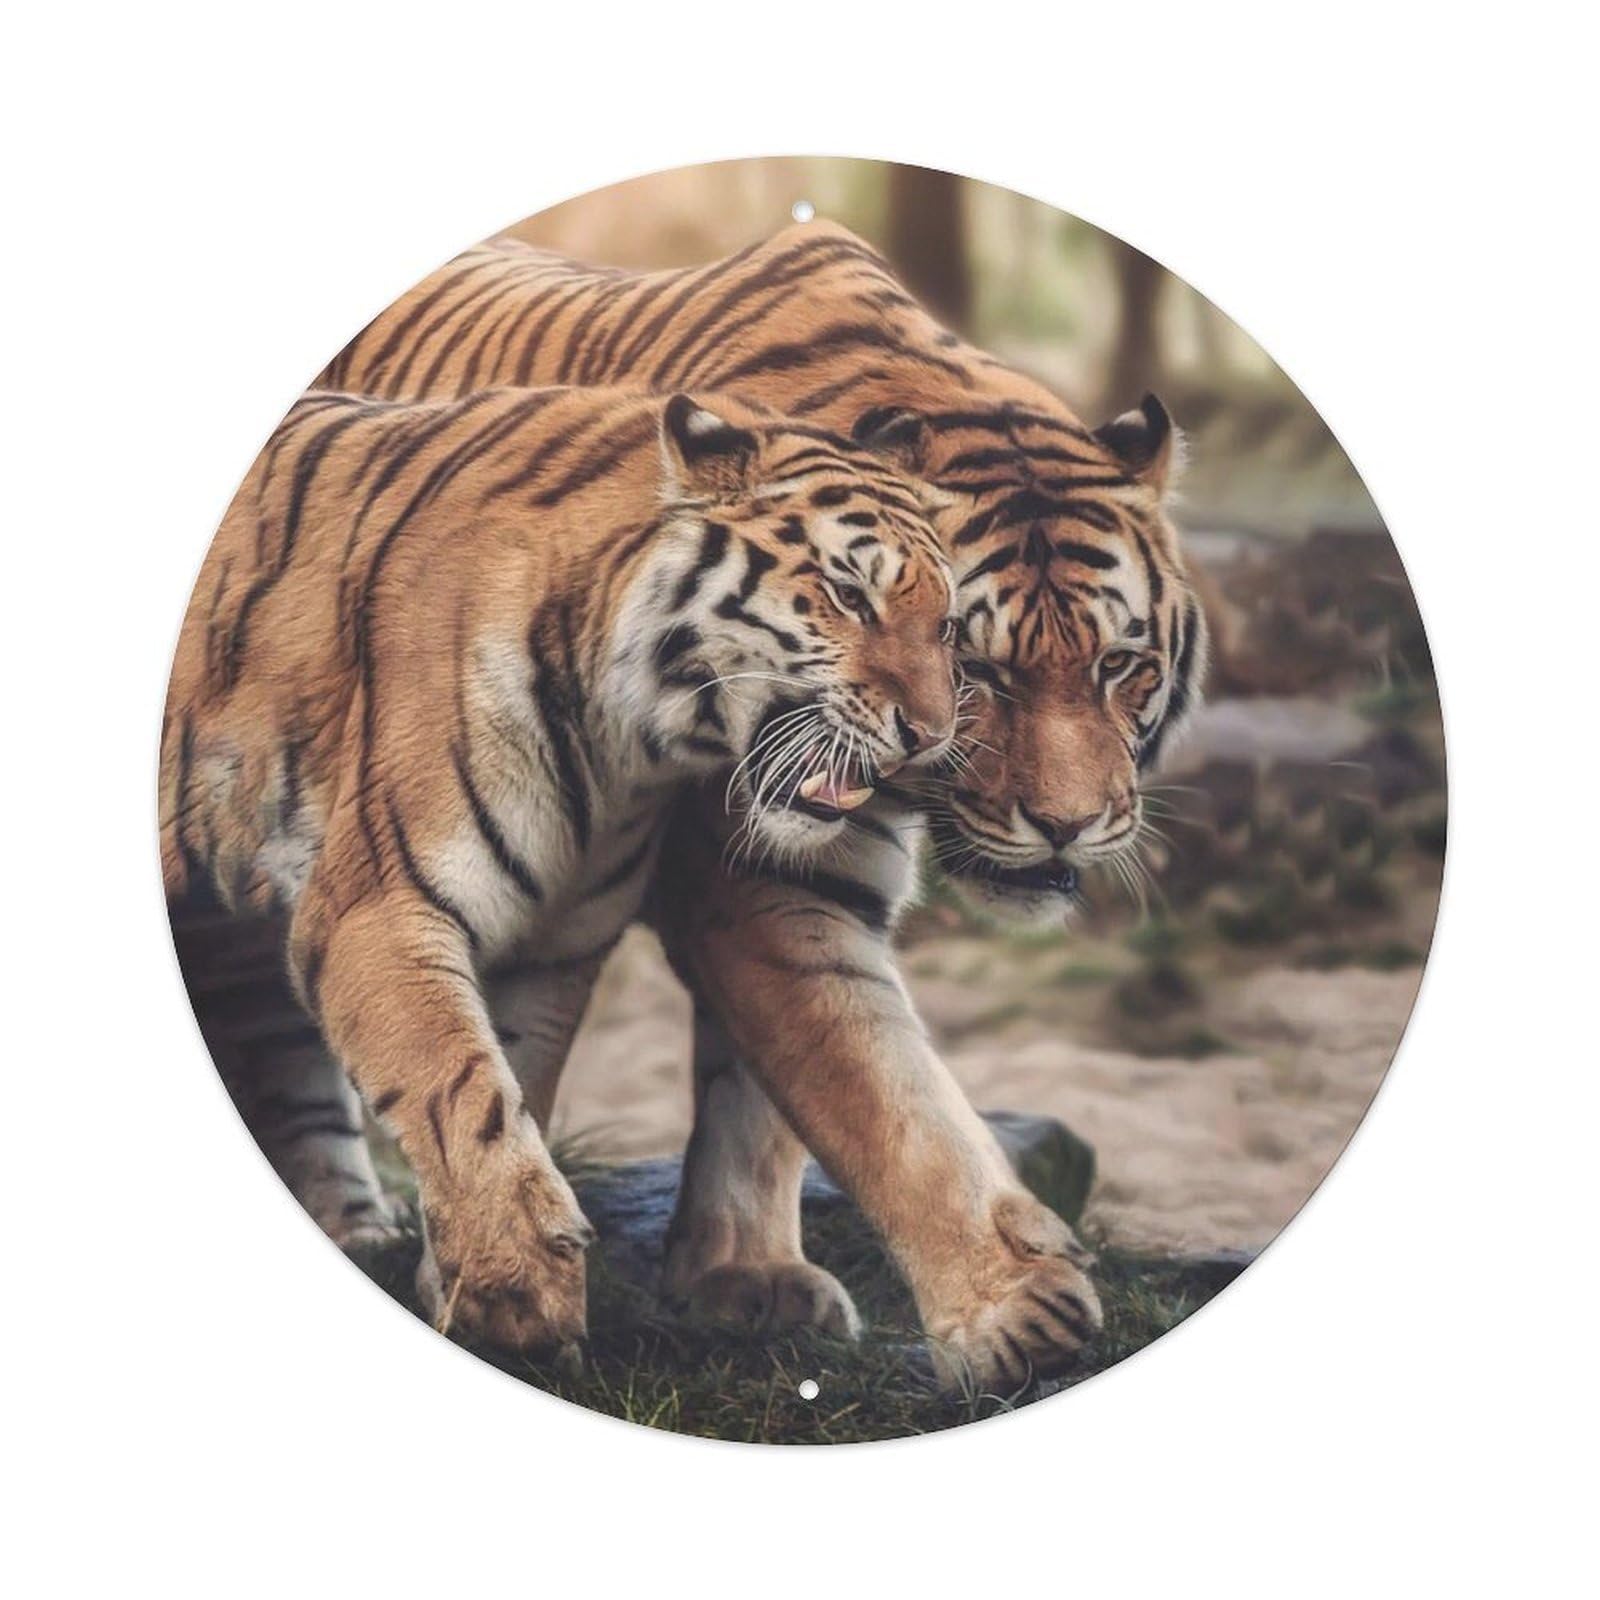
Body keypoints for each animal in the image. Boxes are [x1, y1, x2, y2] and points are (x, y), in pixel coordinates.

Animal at [160, 383, 960, 1352]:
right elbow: (456, 1083)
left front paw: (476, 1292)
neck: (627, 747)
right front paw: (523, 1281)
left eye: (946, 624)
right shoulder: (378, 908)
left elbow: (510, 1085)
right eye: (848, 595)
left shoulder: (551, 944)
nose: (934, 734)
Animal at [302, 217, 1208, 1386]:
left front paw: (748, 1277)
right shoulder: (756, 871)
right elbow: (874, 1084)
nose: (1070, 824)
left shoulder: (798, 856)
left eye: (1118, 665)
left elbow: (769, 1083)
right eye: (979, 669)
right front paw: (1009, 1312)